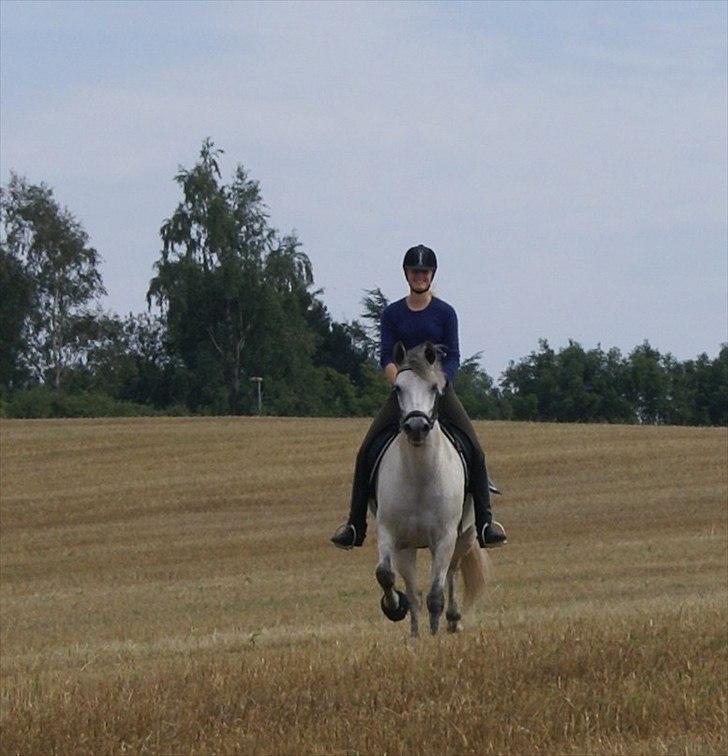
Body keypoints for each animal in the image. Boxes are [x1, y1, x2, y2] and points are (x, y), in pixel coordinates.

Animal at [372, 341, 488, 637]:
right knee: (415, 590)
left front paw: (434, 637)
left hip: (464, 536)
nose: (416, 427)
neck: (419, 478)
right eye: (397, 388)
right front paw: (395, 609)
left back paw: (453, 619)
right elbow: (387, 576)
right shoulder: (392, 534)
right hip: (410, 546)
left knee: (451, 573)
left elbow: (436, 593)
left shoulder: (445, 536)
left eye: (434, 388)